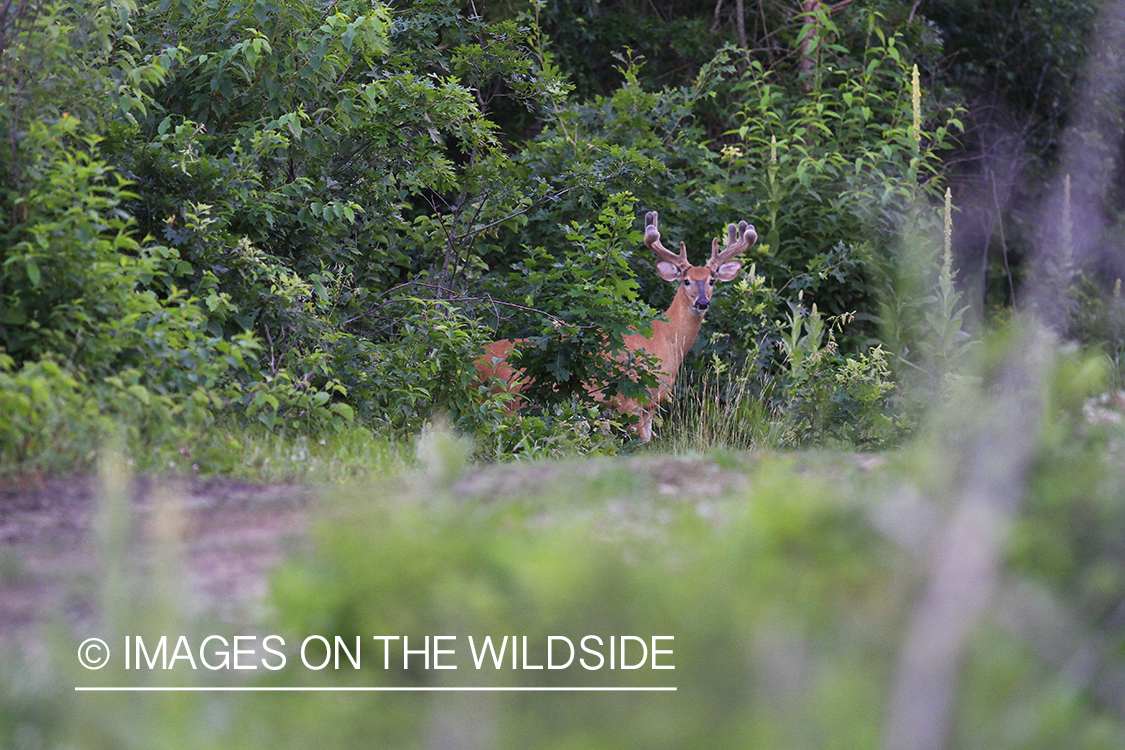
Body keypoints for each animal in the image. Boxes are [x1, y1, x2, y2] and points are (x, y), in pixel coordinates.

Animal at [474, 211, 756, 443]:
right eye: (686, 280)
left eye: (711, 280)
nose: (702, 303)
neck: (666, 339)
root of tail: (477, 360)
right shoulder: (629, 399)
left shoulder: (652, 404)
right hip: (509, 399)